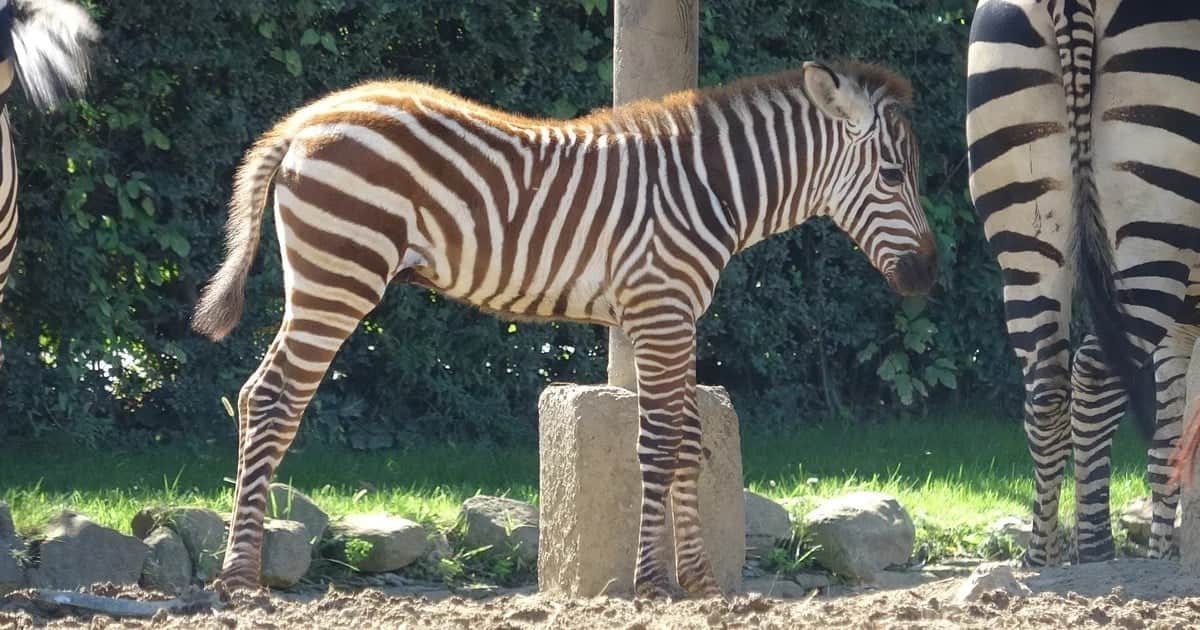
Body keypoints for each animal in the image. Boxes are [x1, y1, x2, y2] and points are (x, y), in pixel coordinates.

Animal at [193, 61, 937, 595]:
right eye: (892, 174)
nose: (927, 276)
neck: (710, 191)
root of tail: (307, 118)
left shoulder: (665, 319)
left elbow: (685, 441)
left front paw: (696, 581)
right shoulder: (662, 312)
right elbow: (661, 445)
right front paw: (649, 584)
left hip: (327, 278)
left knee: (258, 395)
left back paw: (240, 570)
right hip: (338, 276)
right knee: (271, 398)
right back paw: (239, 579)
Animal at [966, 0, 1200, 566]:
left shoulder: (1184, 322)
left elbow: (1168, 444)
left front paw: (1162, 558)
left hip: (1027, 228)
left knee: (1046, 388)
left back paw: (1044, 560)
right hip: (1154, 221)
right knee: (1094, 377)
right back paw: (1095, 551)